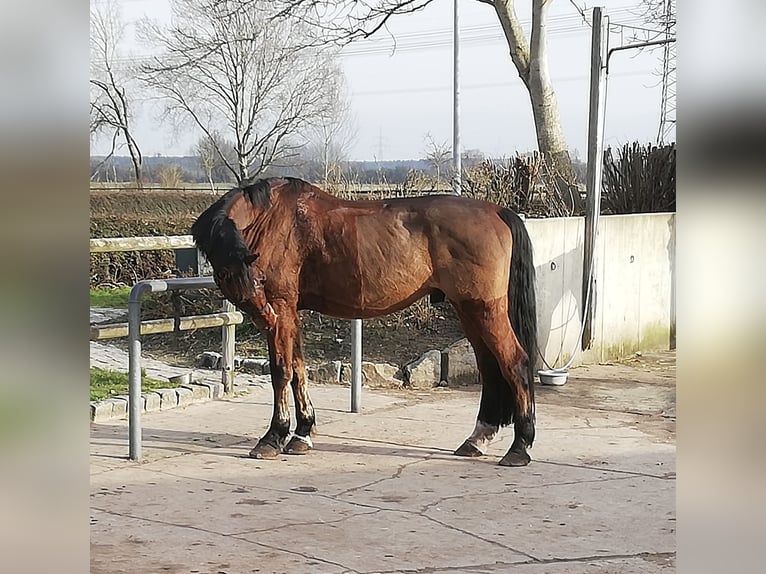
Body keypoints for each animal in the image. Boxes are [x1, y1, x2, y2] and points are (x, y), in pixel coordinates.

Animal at [192, 177, 540, 468]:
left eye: (257, 279)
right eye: (225, 274)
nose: (264, 317)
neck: (274, 220)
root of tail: (497, 211)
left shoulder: (282, 307)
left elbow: (282, 372)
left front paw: (273, 437)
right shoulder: (289, 313)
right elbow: (298, 370)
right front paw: (302, 433)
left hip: (484, 311)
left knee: (515, 363)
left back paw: (519, 447)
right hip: (469, 312)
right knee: (491, 369)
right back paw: (477, 439)